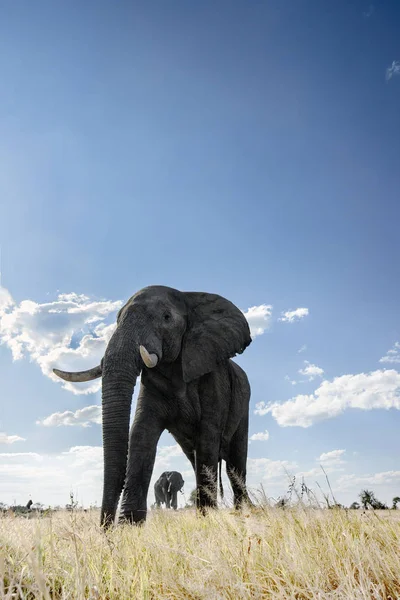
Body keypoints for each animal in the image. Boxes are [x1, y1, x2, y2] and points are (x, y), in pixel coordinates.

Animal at [53, 284, 253, 524]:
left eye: (166, 317)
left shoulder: (213, 380)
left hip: (243, 402)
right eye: (117, 319)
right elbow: (141, 434)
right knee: (196, 458)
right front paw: (130, 525)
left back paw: (242, 514)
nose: (105, 528)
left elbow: (208, 437)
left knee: (235, 463)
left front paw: (208, 521)